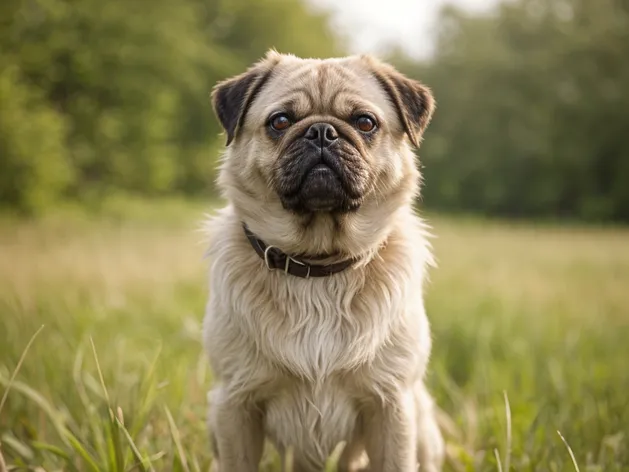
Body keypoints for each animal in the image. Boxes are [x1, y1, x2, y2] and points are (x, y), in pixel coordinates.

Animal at [201, 51, 442, 472]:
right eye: (280, 122)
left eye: (365, 122)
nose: (322, 132)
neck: (318, 266)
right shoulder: (235, 405)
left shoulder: (391, 406)